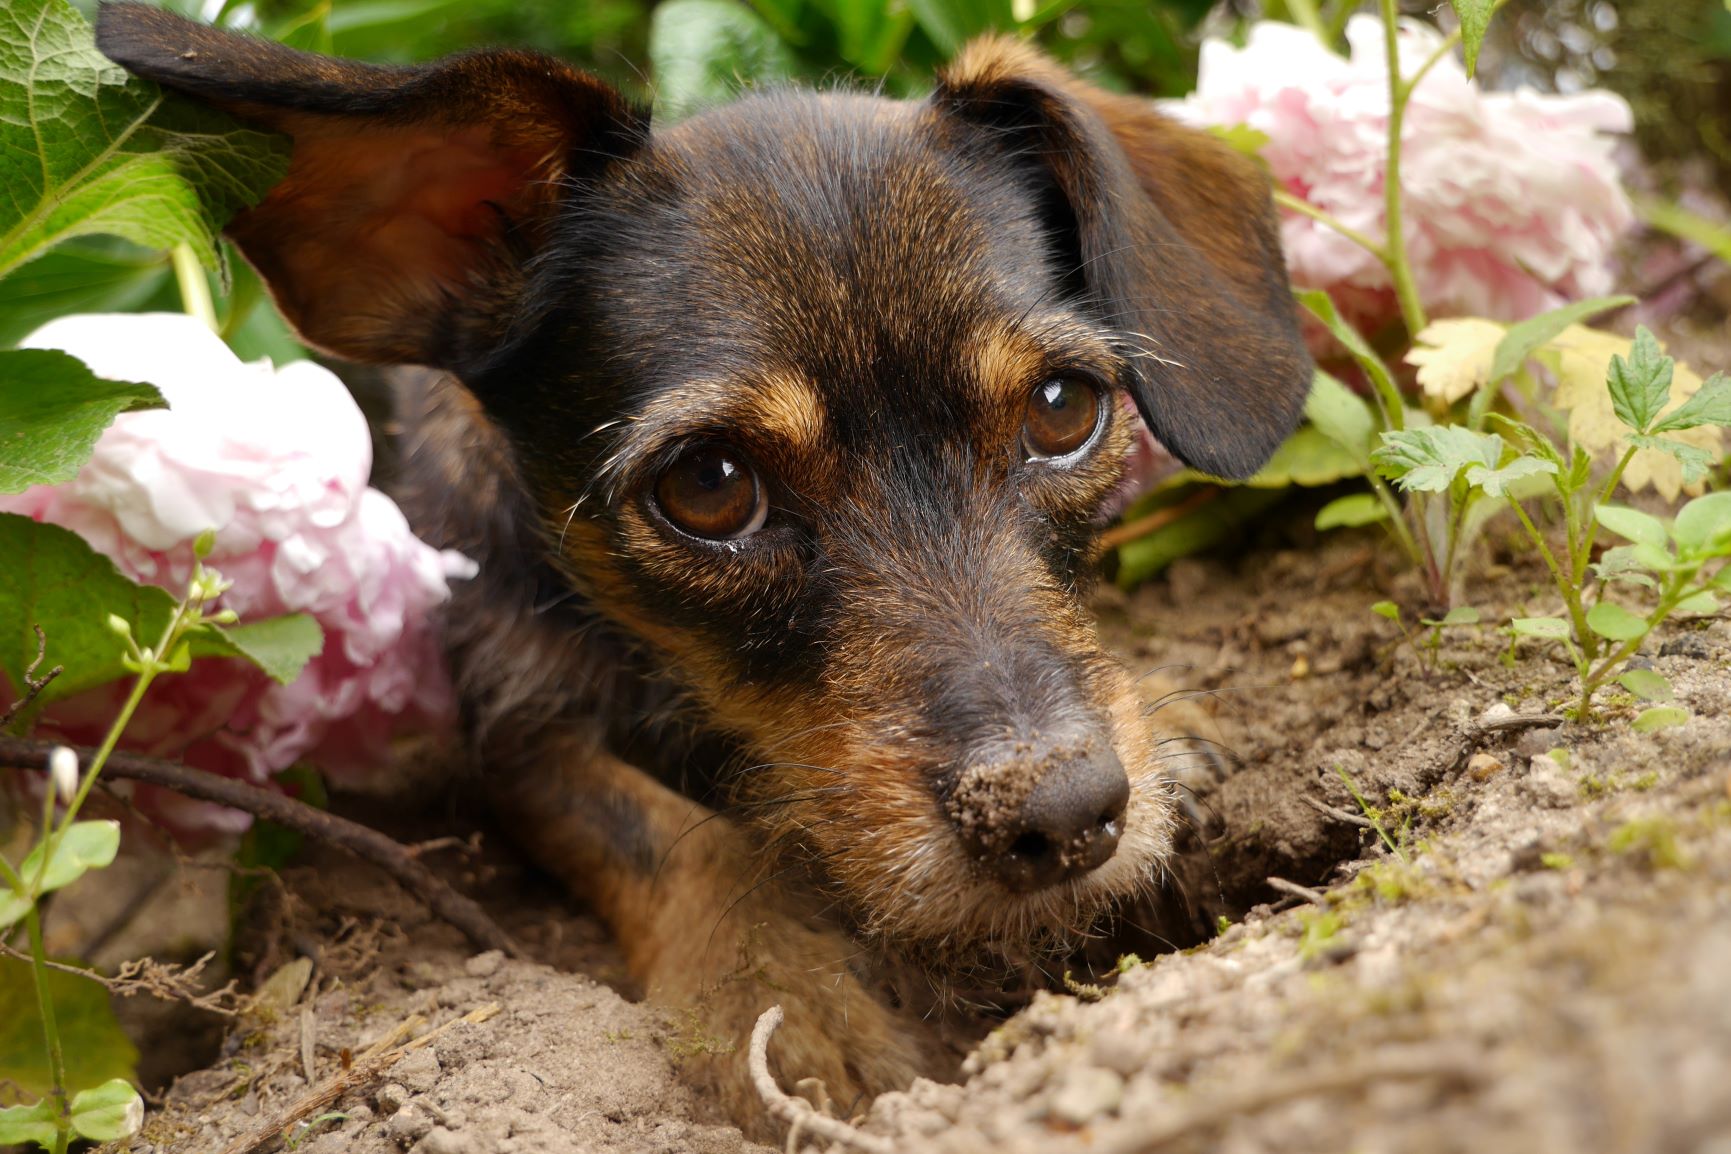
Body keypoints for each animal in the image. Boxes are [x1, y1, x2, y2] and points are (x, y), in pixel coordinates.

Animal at [98, 4, 1308, 1134]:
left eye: (1062, 408)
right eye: (711, 483)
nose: (1061, 817)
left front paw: (1166, 716)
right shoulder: (513, 735)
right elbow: (661, 833)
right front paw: (778, 988)